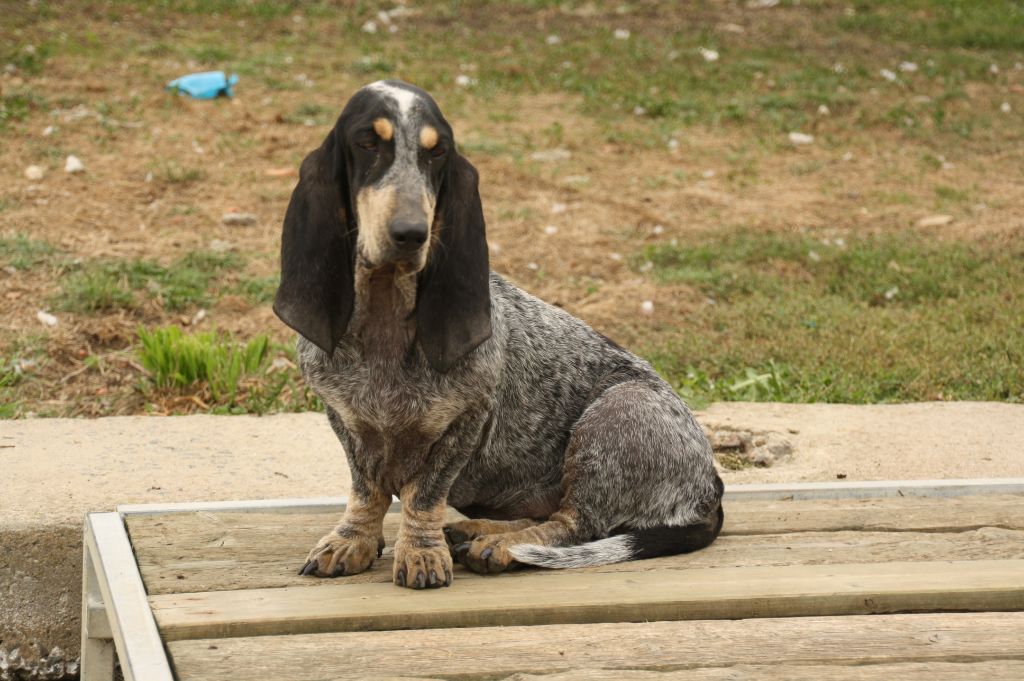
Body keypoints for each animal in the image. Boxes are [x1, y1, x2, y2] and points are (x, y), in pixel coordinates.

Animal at [272, 80, 720, 589]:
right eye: (367, 143)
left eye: (437, 153)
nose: (411, 233)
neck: (386, 315)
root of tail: (711, 486)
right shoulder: (344, 419)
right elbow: (366, 491)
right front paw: (353, 540)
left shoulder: (465, 422)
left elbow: (423, 496)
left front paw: (420, 552)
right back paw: (474, 530)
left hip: (621, 412)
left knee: (576, 524)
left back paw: (500, 546)